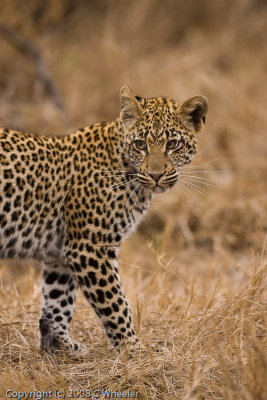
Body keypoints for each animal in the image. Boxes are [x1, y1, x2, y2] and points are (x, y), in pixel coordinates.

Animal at [0, 86, 209, 354]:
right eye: (140, 144)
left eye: (172, 144)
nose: (155, 175)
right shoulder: (90, 248)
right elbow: (115, 303)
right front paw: (135, 349)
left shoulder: (61, 252)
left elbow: (58, 298)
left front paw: (58, 344)